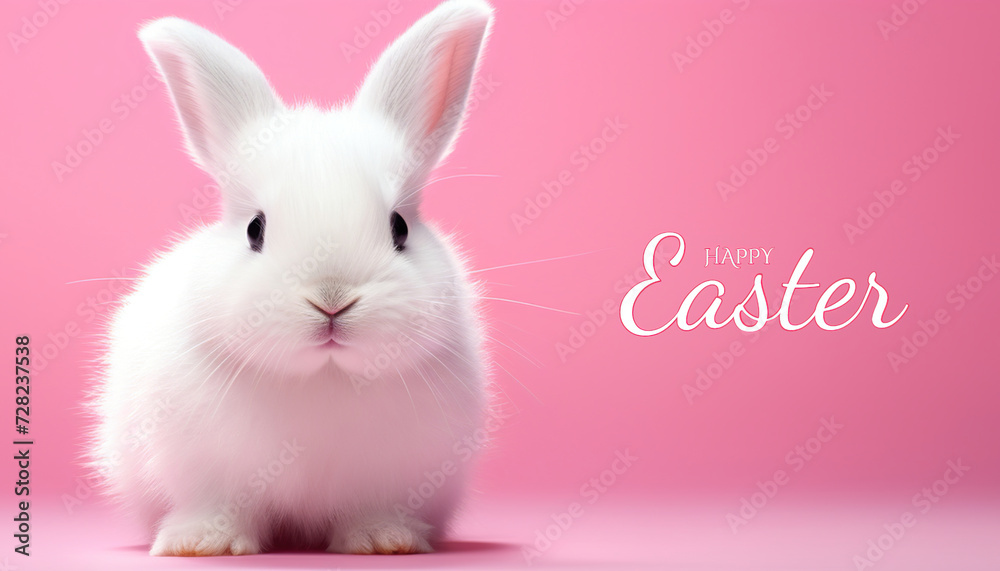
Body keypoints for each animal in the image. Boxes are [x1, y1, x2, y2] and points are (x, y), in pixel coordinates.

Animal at [89, 0, 494, 556]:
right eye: (254, 229)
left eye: (400, 227)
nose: (331, 299)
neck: (323, 376)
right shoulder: (202, 472)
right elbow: (217, 506)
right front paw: (204, 544)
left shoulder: (390, 477)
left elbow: (371, 509)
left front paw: (383, 542)